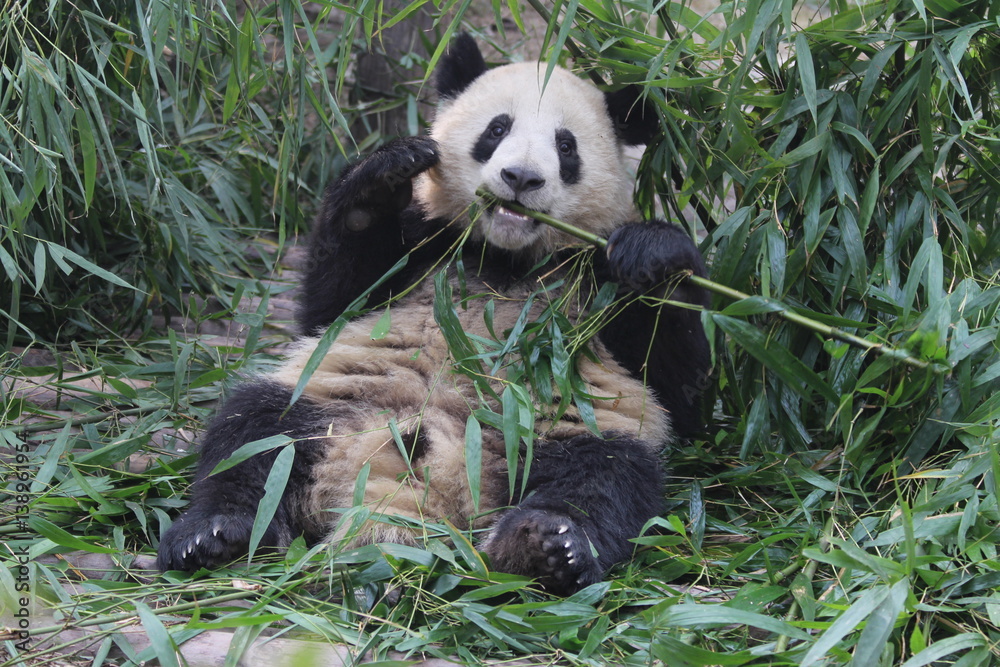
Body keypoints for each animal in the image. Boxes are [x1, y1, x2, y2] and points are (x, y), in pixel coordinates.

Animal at [157, 34, 710, 595]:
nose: (521, 178)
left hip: (560, 430)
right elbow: (331, 304)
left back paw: (547, 546)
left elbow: (682, 391)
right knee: (253, 437)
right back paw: (213, 533)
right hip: (328, 400)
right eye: (497, 129)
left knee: (606, 476)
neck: (505, 257)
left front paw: (652, 255)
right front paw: (383, 176)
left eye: (566, 146)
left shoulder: (590, 283)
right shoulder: (425, 246)